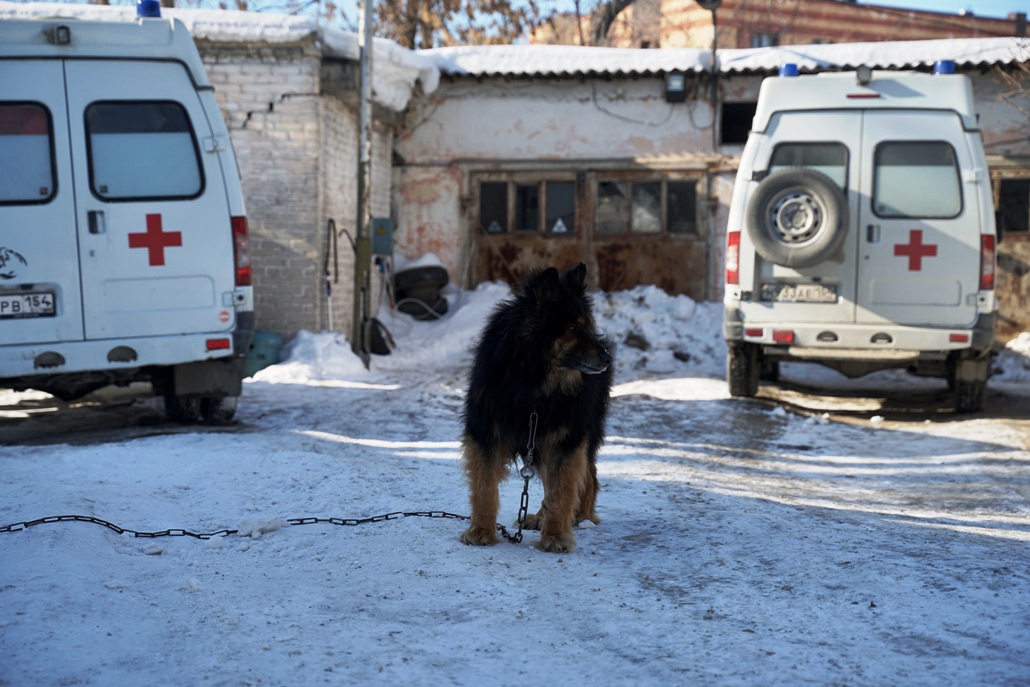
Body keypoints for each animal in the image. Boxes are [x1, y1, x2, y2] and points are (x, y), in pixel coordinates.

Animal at [457, 263, 609, 552]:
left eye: (589, 327)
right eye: (573, 327)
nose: (607, 357)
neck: (531, 383)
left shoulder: (565, 438)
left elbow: (561, 490)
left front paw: (556, 535)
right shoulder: (485, 433)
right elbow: (484, 488)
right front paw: (481, 530)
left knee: (588, 475)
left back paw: (581, 516)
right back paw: (539, 518)